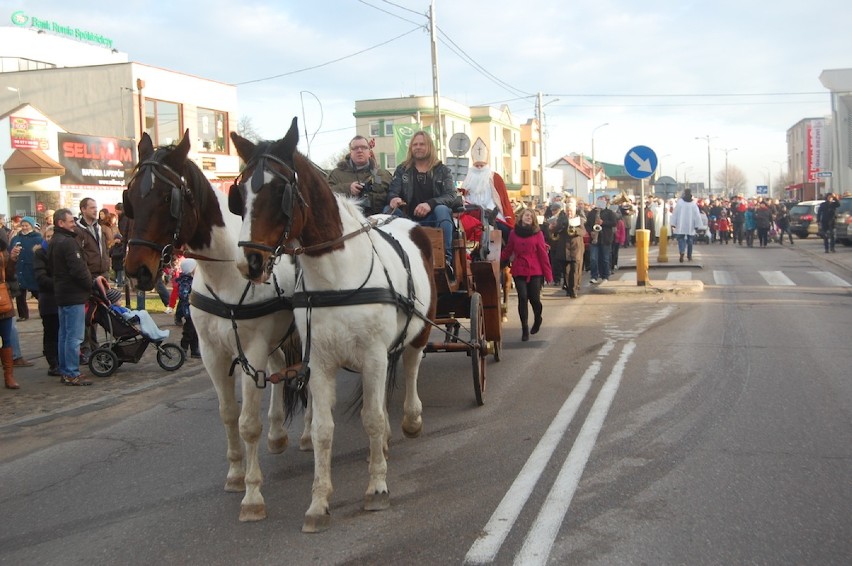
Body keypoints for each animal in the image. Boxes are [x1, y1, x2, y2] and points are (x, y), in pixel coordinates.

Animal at [120, 132, 306, 524]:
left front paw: (252, 494)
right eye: (131, 199)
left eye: (168, 198)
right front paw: (235, 475)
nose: (136, 270)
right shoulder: (212, 353)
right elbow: (228, 415)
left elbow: (248, 423)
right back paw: (278, 433)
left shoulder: (251, 350)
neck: (225, 274)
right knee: (283, 368)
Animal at [228, 117, 436, 536]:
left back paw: (410, 419)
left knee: (410, 367)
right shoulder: (321, 363)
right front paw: (318, 503)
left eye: (280, 190)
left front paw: (376, 489)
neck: (337, 276)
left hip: (417, 333)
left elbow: (371, 418)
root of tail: (405, 219)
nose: (250, 263)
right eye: (239, 193)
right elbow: (324, 429)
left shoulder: (372, 356)